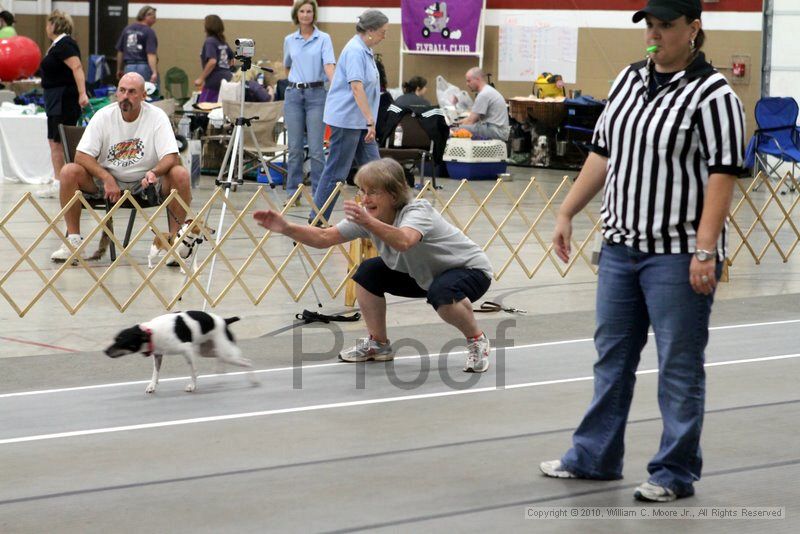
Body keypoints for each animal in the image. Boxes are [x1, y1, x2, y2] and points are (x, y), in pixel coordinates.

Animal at [101, 312, 255, 396]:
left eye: (121, 341)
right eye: (115, 339)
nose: (105, 351)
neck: (151, 333)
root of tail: (224, 320)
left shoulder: (187, 351)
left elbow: (194, 372)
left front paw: (192, 386)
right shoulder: (158, 355)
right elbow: (155, 373)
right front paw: (152, 386)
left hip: (225, 352)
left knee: (247, 361)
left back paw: (253, 380)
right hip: (207, 350)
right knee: (220, 357)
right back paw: (221, 369)